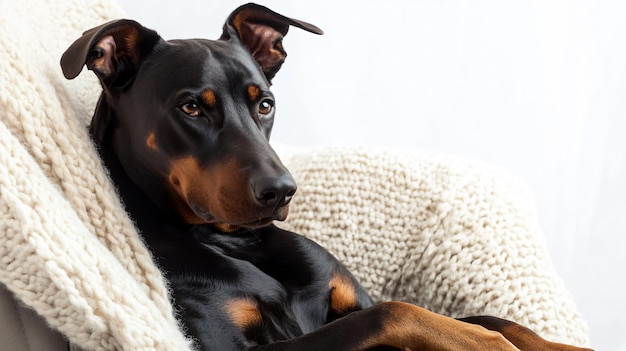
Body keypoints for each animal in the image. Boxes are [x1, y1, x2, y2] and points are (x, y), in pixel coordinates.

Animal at [61, 3, 592, 351]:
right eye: (191, 107)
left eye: (265, 104)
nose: (281, 191)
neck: (240, 244)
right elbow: (396, 311)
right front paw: (485, 342)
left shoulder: (351, 298)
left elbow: (495, 317)